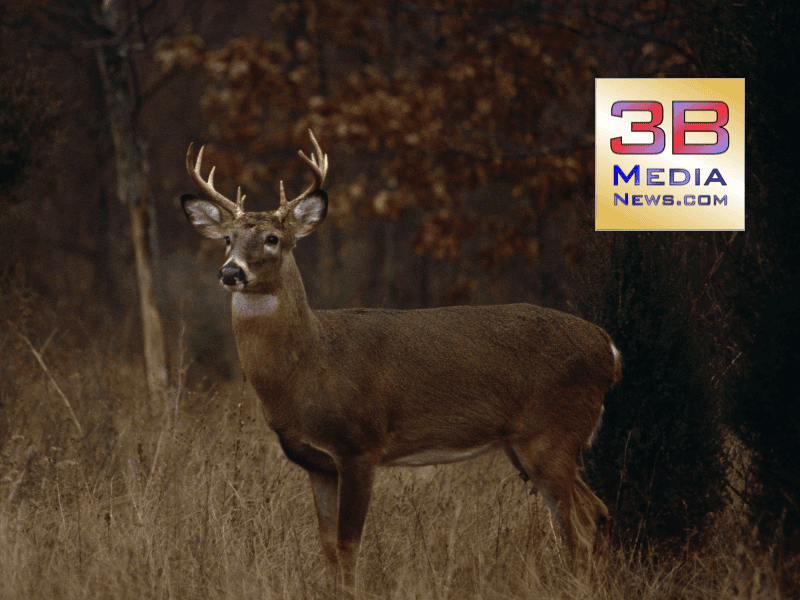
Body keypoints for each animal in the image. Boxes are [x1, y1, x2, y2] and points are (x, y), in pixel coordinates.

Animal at [181, 130, 621, 593]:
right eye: (227, 239)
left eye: (272, 239)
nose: (231, 272)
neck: (309, 365)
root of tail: (608, 349)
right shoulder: (317, 463)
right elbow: (327, 548)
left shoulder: (360, 443)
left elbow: (348, 544)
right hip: (526, 444)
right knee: (596, 512)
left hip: (551, 433)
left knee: (582, 523)